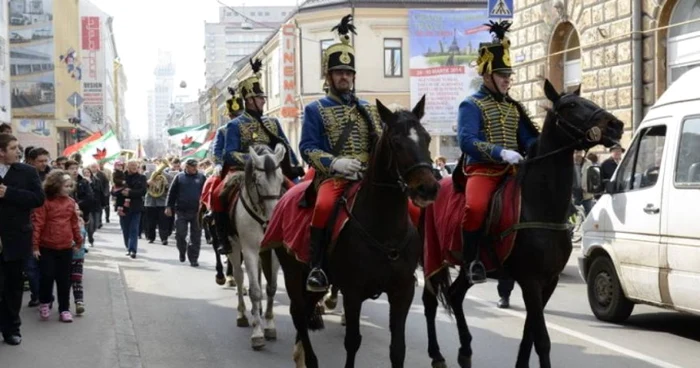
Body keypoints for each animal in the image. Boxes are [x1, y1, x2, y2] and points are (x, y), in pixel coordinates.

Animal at [227, 144, 288, 350]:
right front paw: (257, 333)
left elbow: (271, 287)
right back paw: (242, 314)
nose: (274, 218)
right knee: (239, 277)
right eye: (259, 182)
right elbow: (254, 291)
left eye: (281, 180)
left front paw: (268, 324)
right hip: (234, 246)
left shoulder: (274, 252)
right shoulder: (250, 251)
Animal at [272, 98, 438, 368]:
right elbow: (352, 341)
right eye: (396, 141)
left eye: (427, 138)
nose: (428, 188)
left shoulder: (402, 291)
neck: (385, 229)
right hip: (294, 274)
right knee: (297, 312)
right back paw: (310, 359)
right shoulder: (352, 292)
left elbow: (398, 348)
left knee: (305, 312)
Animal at [422, 80, 624, 368]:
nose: (616, 125)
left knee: (454, 295)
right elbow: (542, 339)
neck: (540, 206)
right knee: (429, 301)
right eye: (571, 105)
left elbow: (530, 333)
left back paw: (465, 351)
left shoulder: (547, 281)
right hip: (430, 257)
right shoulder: (530, 280)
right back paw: (437, 354)